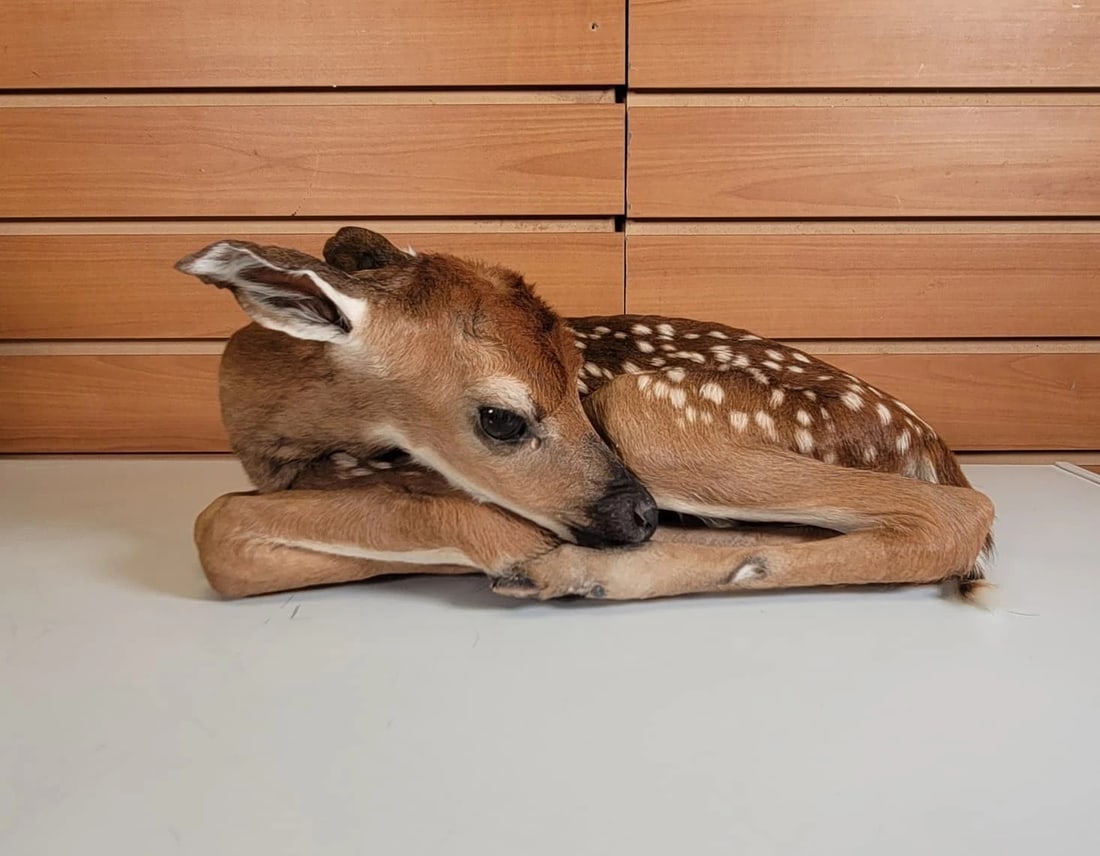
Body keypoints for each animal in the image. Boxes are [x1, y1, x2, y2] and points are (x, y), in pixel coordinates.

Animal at [176, 227, 995, 602]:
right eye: (502, 419)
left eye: (575, 378)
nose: (638, 515)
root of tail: (924, 439)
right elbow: (230, 541)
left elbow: (216, 521)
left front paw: (515, 549)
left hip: (643, 409)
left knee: (960, 513)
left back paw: (571, 571)